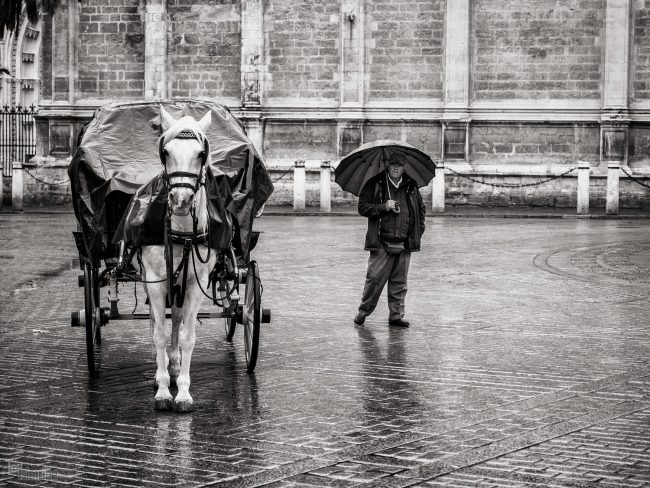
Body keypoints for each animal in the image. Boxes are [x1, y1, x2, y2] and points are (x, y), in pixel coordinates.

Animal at [138, 107, 216, 412]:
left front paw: (182, 392)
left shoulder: (196, 284)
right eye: (166, 152)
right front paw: (162, 391)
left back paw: (173, 366)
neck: (181, 232)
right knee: (156, 322)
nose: (181, 200)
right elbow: (158, 333)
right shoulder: (156, 280)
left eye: (201, 154)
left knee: (177, 320)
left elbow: (186, 336)